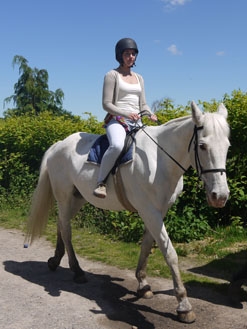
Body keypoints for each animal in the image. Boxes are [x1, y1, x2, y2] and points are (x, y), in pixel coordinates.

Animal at [26, 102, 230, 322]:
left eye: (227, 146)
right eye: (202, 146)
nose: (220, 196)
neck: (159, 160)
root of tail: (58, 145)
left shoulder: (158, 211)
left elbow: (147, 245)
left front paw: (143, 285)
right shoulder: (150, 211)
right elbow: (170, 253)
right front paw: (184, 305)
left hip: (76, 198)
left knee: (61, 224)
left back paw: (56, 260)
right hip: (64, 197)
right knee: (66, 229)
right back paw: (77, 271)